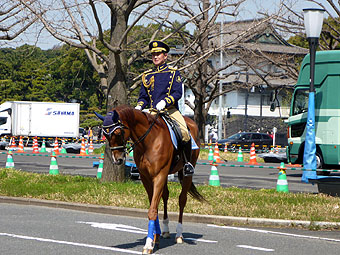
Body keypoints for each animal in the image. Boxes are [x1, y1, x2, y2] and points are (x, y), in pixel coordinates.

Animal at [94, 105, 203, 253]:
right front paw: (155, 239)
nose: (118, 160)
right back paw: (166, 230)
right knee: (165, 196)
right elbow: (154, 206)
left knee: (182, 200)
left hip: (187, 173)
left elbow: (152, 210)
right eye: (105, 135)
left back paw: (179, 235)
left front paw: (148, 244)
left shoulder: (159, 176)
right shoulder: (146, 178)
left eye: (118, 132)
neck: (149, 142)